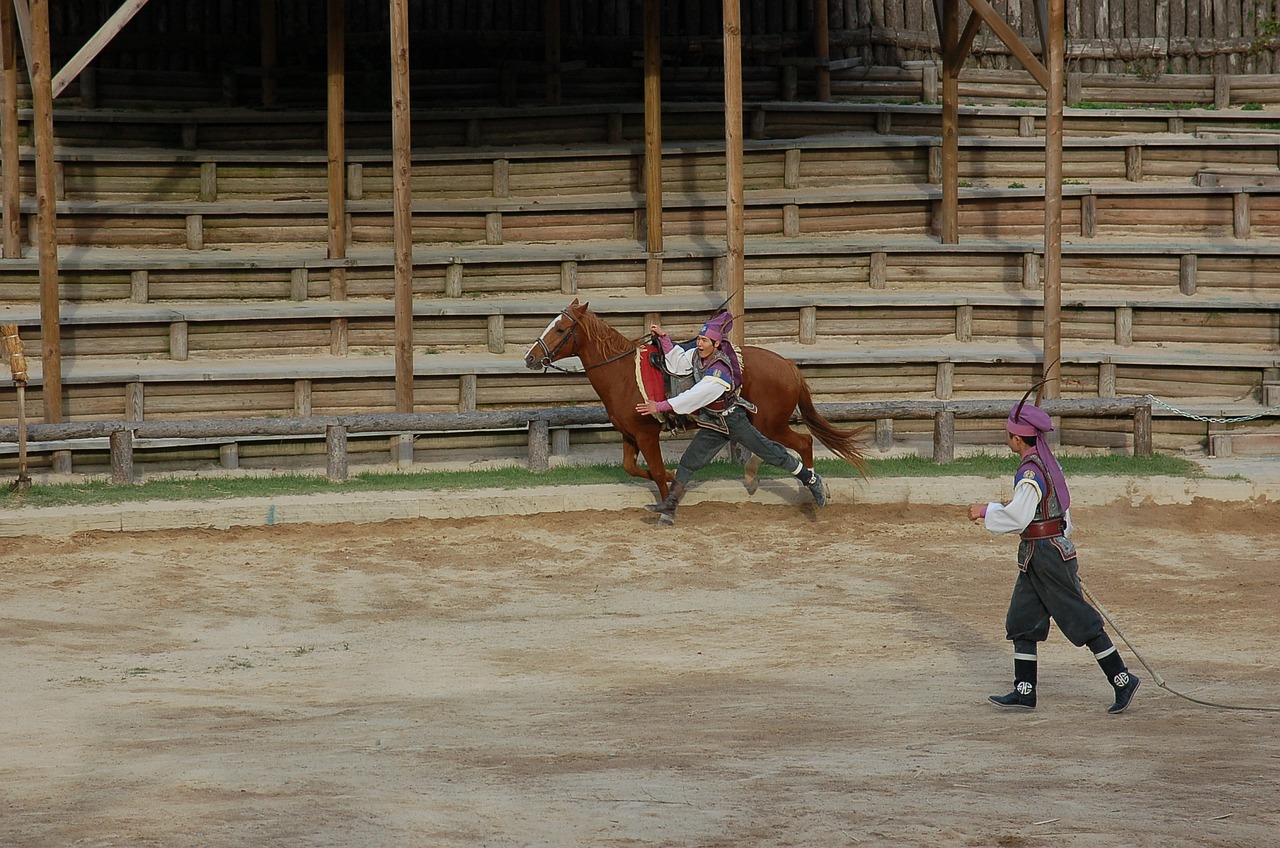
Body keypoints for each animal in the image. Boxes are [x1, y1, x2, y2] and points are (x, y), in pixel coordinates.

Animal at [522, 298, 870, 502]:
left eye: (561, 329)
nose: (530, 357)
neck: (622, 374)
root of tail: (788, 366)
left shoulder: (646, 434)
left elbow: (657, 472)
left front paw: (667, 495)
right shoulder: (629, 434)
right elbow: (631, 468)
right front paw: (674, 476)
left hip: (772, 422)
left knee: (803, 442)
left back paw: (811, 487)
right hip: (760, 422)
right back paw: (757, 477)